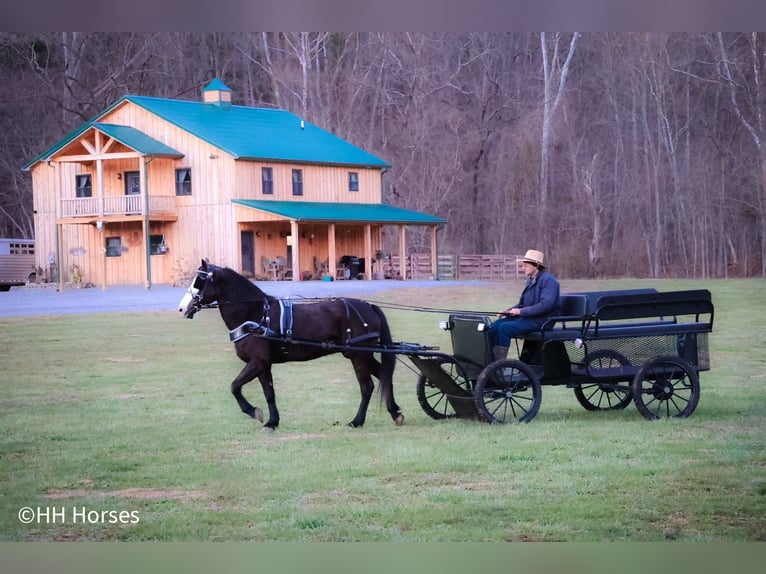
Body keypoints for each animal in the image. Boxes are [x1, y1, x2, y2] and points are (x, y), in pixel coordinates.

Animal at [177, 259, 404, 431]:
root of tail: (369, 307)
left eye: (200, 281)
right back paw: (395, 413)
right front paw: (272, 422)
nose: (181, 308)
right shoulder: (263, 365)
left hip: (359, 356)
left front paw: (254, 412)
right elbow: (269, 394)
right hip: (360, 354)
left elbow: (235, 386)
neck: (256, 315)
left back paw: (357, 421)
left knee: (367, 387)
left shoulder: (257, 362)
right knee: (385, 375)